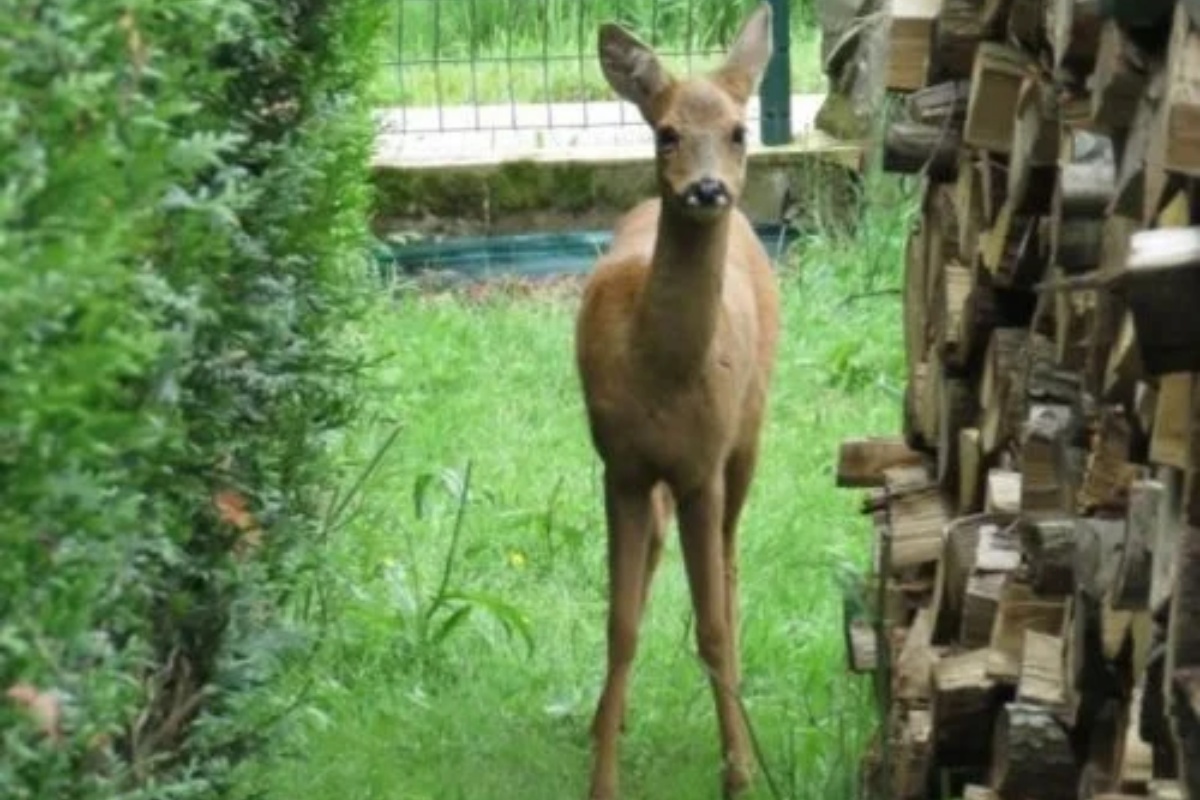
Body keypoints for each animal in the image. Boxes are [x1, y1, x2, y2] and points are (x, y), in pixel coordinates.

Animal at [573, 3, 782, 796]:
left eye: (739, 131)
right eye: (665, 132)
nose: (707, 190)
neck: (661, 372)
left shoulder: (702, 467)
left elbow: (714, 625)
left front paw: (738, 772)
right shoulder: (622, 466)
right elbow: (621, 623)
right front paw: (602, 774)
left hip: (749, 434)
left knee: (728, 562)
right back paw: (608, 717)